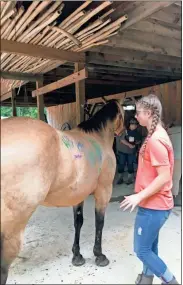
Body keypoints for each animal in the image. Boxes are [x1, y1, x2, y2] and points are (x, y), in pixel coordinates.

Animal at [1, 99, 124, 282]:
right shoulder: (104, 190)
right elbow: (99, 221)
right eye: (125, 111)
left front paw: (77, 256)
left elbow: (78, 222)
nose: (123, 132)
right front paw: (99, 255)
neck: (97, 138)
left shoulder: (78, 194)